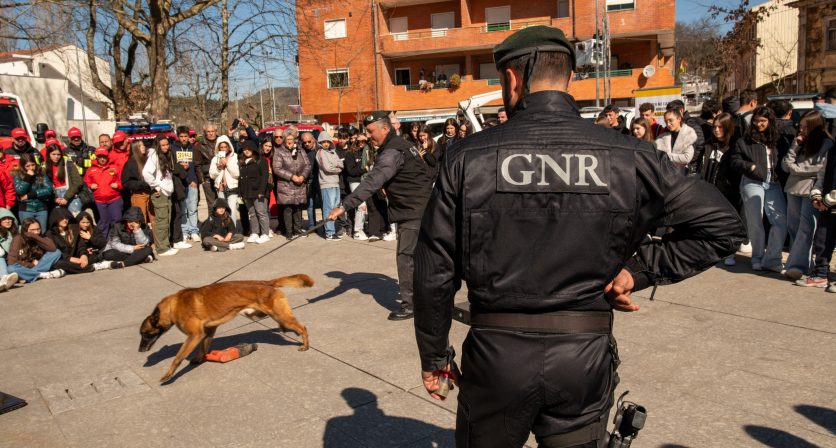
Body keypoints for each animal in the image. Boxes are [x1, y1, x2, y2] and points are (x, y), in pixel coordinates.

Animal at [139, 272, 312, 382]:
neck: (172, 306)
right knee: (290, 325)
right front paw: (199, 358)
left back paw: (305, 345)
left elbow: (177, 358)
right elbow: (204, 346)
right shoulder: (208, 330)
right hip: (262, 314)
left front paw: (168, 375)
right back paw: (289, 331)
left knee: (303, 327)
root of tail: (266, 282)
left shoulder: (194, 335)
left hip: (278, 314)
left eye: (145, 334)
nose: (140, 350)